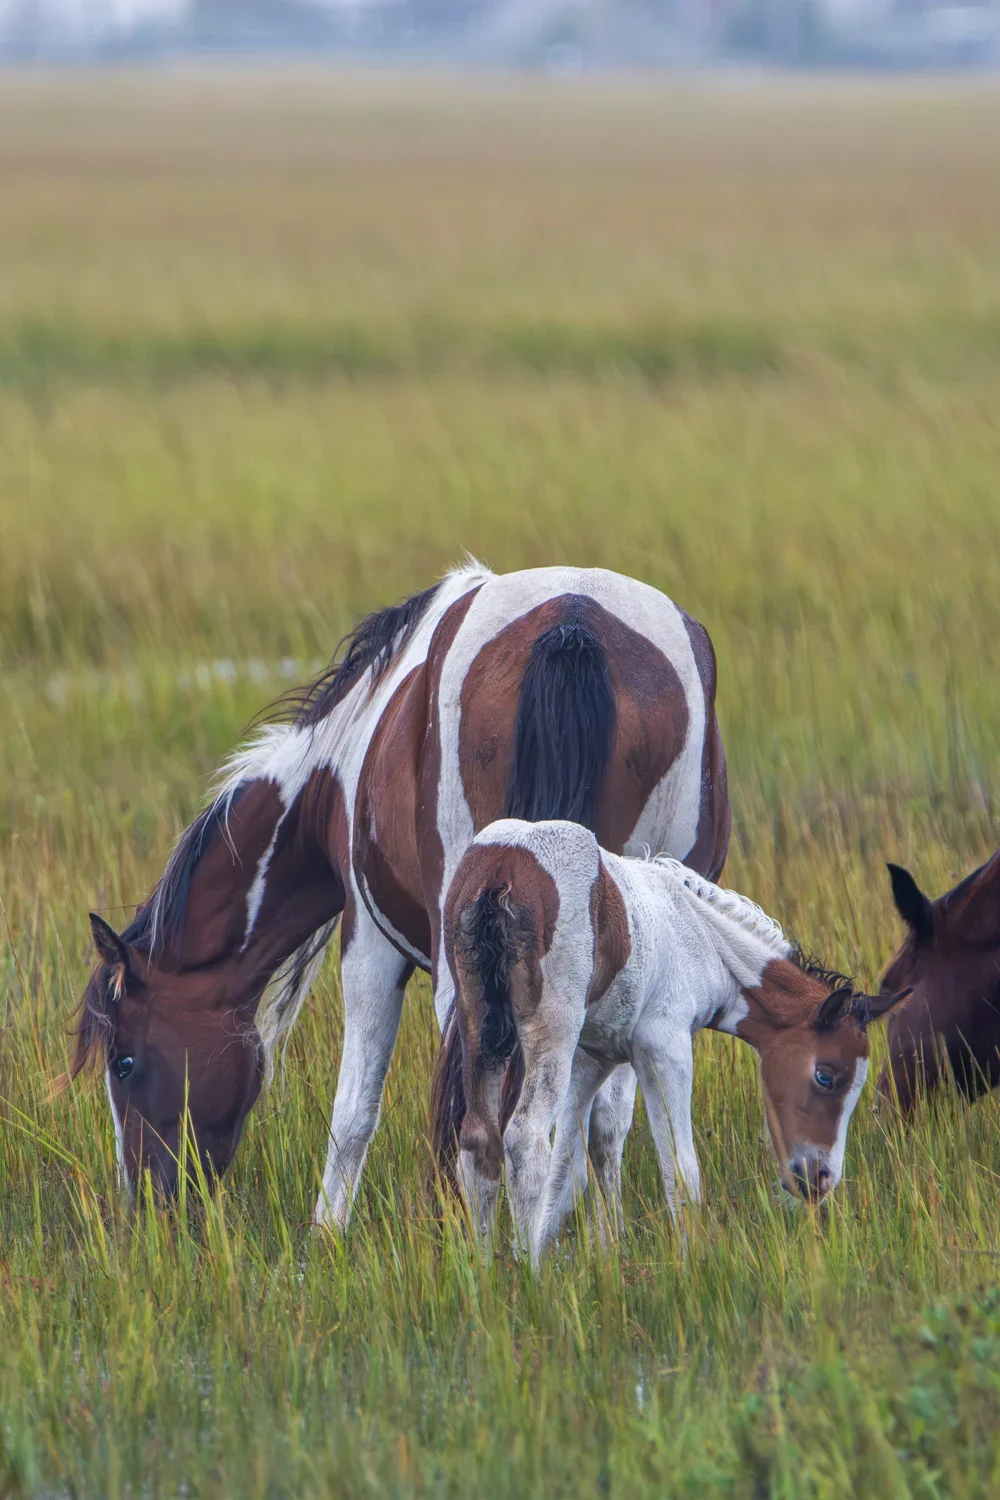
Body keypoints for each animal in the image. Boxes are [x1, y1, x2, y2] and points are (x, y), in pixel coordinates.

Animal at [72, 561, 731, 1227]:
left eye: (124, 1063)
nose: (146, 1206)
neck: (337, 767)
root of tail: (575, 618)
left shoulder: (367, 941)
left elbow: (355, 1114)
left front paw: (328, 1233)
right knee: (603, 1117)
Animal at [440, 818, 911, 1263]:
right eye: (826, 1076)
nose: (820, 1179)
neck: (702, 943)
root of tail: (502, 869)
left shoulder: (591, 1061)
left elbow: (571, 1171)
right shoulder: (663, 1049)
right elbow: (681, 1171)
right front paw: (694, 1265)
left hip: (480, 1027)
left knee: (479, 1141)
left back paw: (489, 1274)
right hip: (551, 1030)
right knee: (525, 1139)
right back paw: (532, 1283)